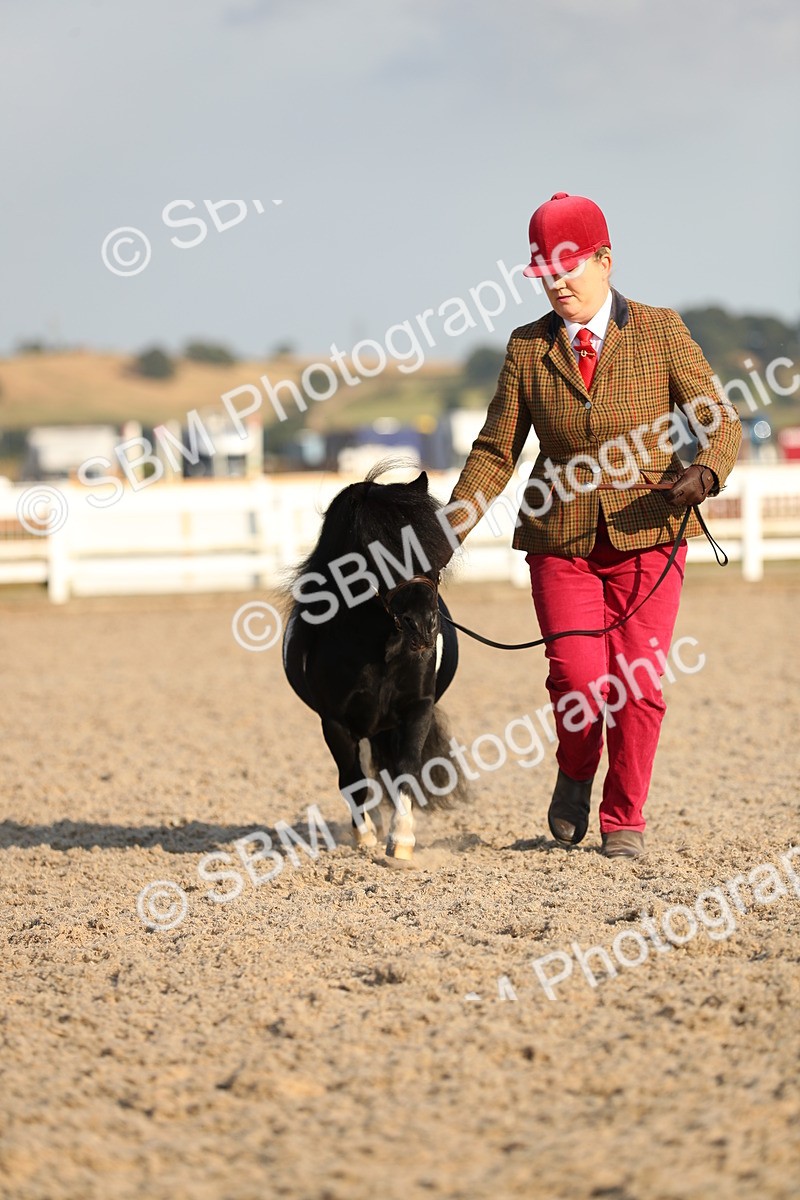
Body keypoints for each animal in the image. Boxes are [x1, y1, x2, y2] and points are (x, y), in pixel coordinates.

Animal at [282, 466, 461, 860]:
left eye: (432, 546)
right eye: (375, 551)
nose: (424, 626)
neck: (380, 648)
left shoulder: (417, 708)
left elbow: (406, 769)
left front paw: (402, 840)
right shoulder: (334, 721)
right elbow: (351, 779)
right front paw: (365, 837)